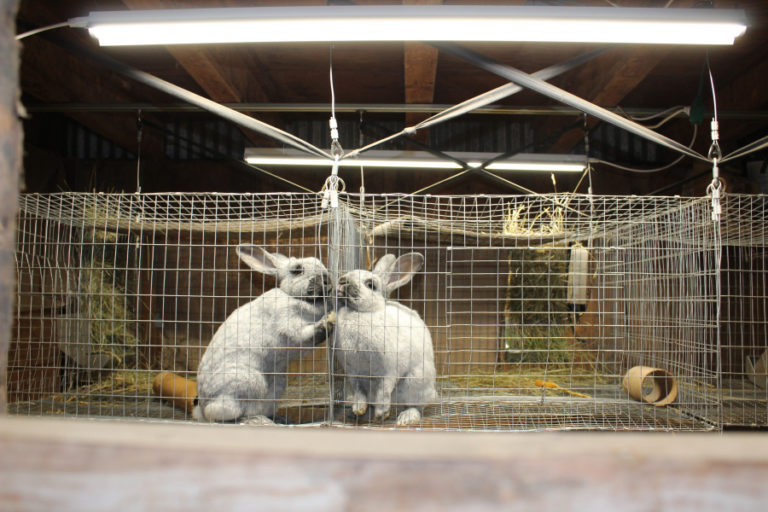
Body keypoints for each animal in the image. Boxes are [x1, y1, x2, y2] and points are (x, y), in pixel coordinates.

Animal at [193, 245, 335, 424]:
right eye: (297, 270)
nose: (327, 279)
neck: (295, 297)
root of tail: (202, 407)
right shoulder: (288, 326)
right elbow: (305, 334)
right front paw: (326, 323)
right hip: (247, 382)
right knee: (220, 414)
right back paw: (253, 420)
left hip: (277, 385)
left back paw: (280, 419)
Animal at [334, 253, 437, 426]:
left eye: (370, 284)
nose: (342, 281)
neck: (361, 313)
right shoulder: (354, 373)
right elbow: (359, 392)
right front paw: (358, 409)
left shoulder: (388, 370)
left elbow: (383, 391)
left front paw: (381, 413)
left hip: (414, 382)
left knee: (416, 406)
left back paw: (405, 418)